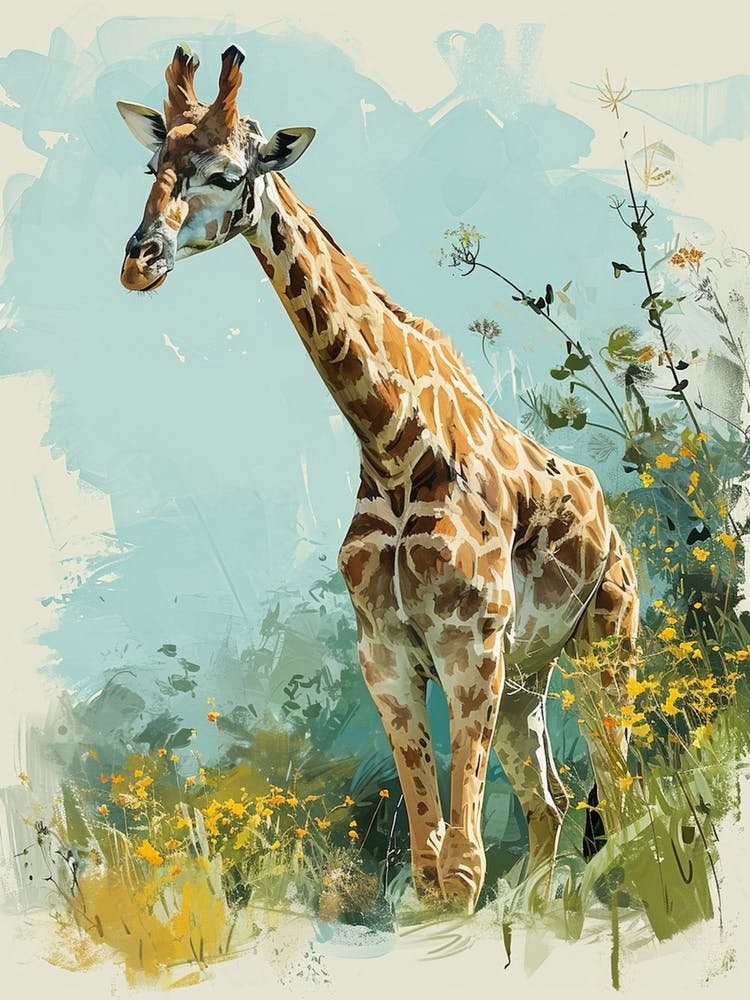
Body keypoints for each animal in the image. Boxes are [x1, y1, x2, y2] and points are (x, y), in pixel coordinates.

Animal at [117, 44, 639, 914]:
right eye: (152, 166)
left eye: (228, 173)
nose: (138, 262)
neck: (396, 444)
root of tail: (614, 530)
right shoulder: (386, 656)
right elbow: (430, 870)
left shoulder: (469, 647)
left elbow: (459, 870)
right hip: (531, 679)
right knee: (554, 801)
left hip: (608, 650)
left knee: (627, 796)